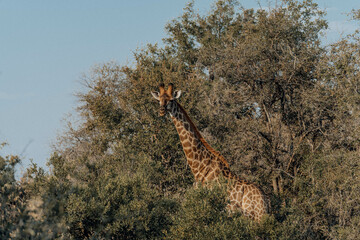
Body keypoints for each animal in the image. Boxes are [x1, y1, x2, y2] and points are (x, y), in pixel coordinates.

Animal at [150, 83, 268, 222]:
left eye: (171, 100)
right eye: (159, 100)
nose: (162, 111)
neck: (198, 167)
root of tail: (265, 200)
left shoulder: (207, 205)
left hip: (255, 217)